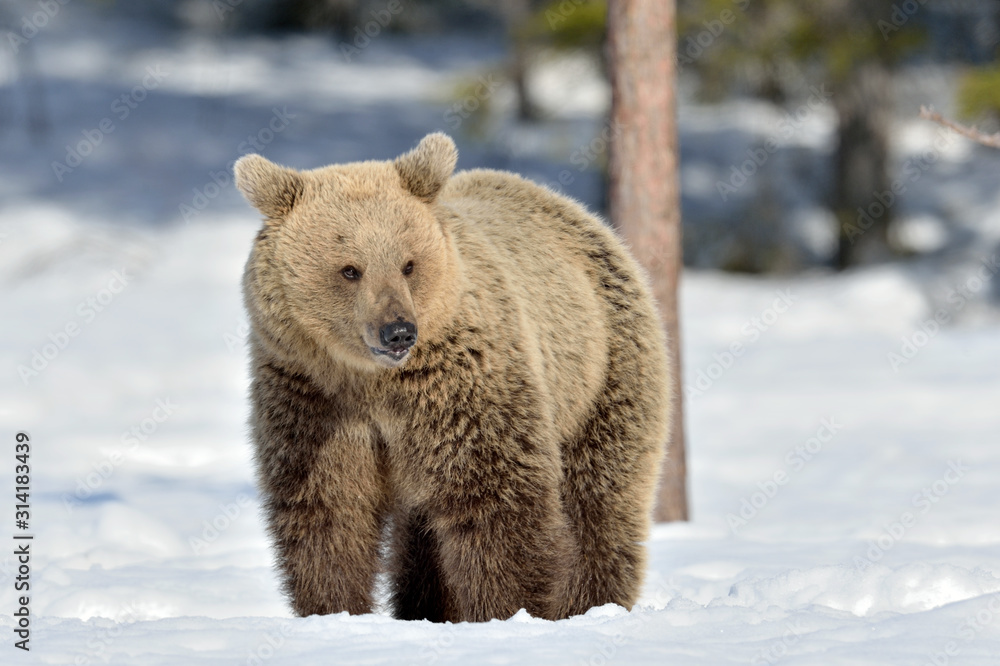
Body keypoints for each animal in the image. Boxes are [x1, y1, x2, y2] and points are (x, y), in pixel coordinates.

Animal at [234, 132, 670, 623]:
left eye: (408, 263)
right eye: (350, 269)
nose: (398, 331)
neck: (371, 380)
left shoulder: (460, 388)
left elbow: (493, 497)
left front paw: (507, 609)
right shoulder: (313, 398)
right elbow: (328, 507)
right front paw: (334, 610)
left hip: (600, 375)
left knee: (600, 500)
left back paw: (592, 603)